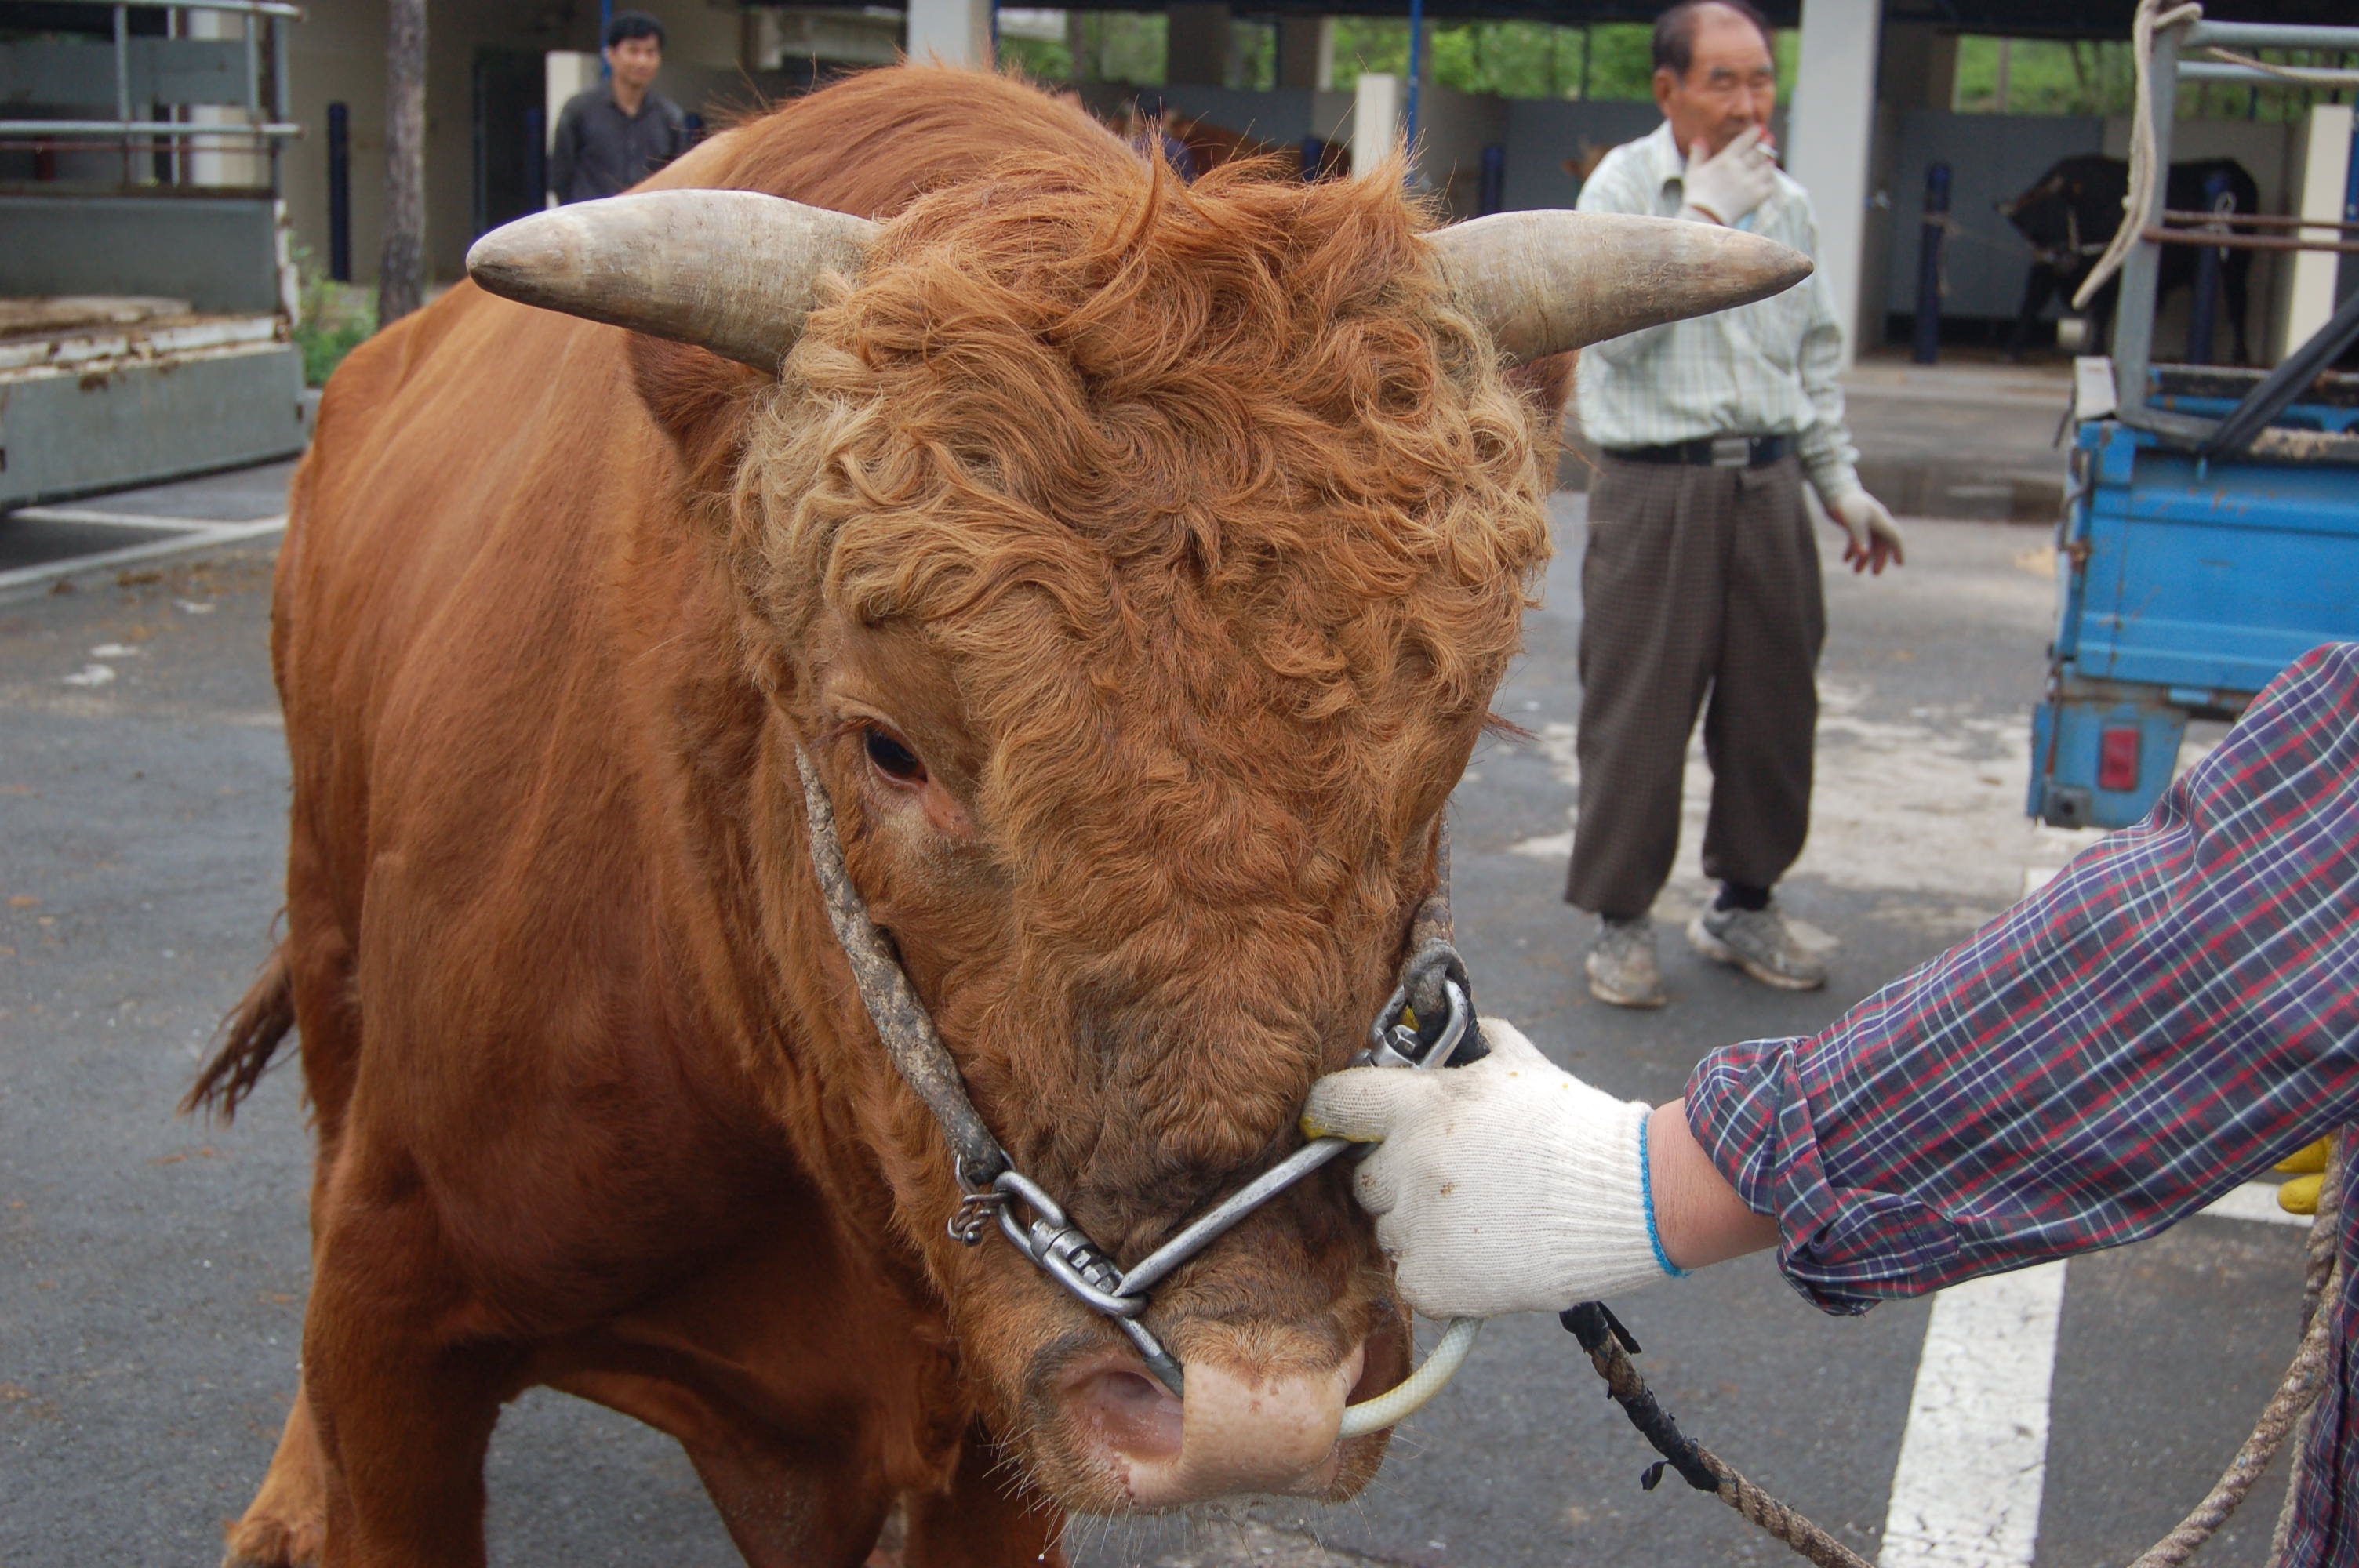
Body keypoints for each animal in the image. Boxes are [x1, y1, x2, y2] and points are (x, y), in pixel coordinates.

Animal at [188, 64, 1802, 1565]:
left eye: (1450, 742)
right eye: (887, 747)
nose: (1251, 1401)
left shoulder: (987, 1456)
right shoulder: (395, 1330)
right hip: (327, 929)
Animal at [2000, 151, 2255, 361]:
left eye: (2061, 215)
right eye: (2033, 231)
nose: (2063, 259)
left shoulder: (2109, 273)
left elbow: (2100, 312)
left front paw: (2095, 350)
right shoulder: (2043, 266)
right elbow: (2032, 302)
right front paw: (2012, 349)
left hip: (2237, 264)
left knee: (2239, 302)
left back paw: (2240, 354)